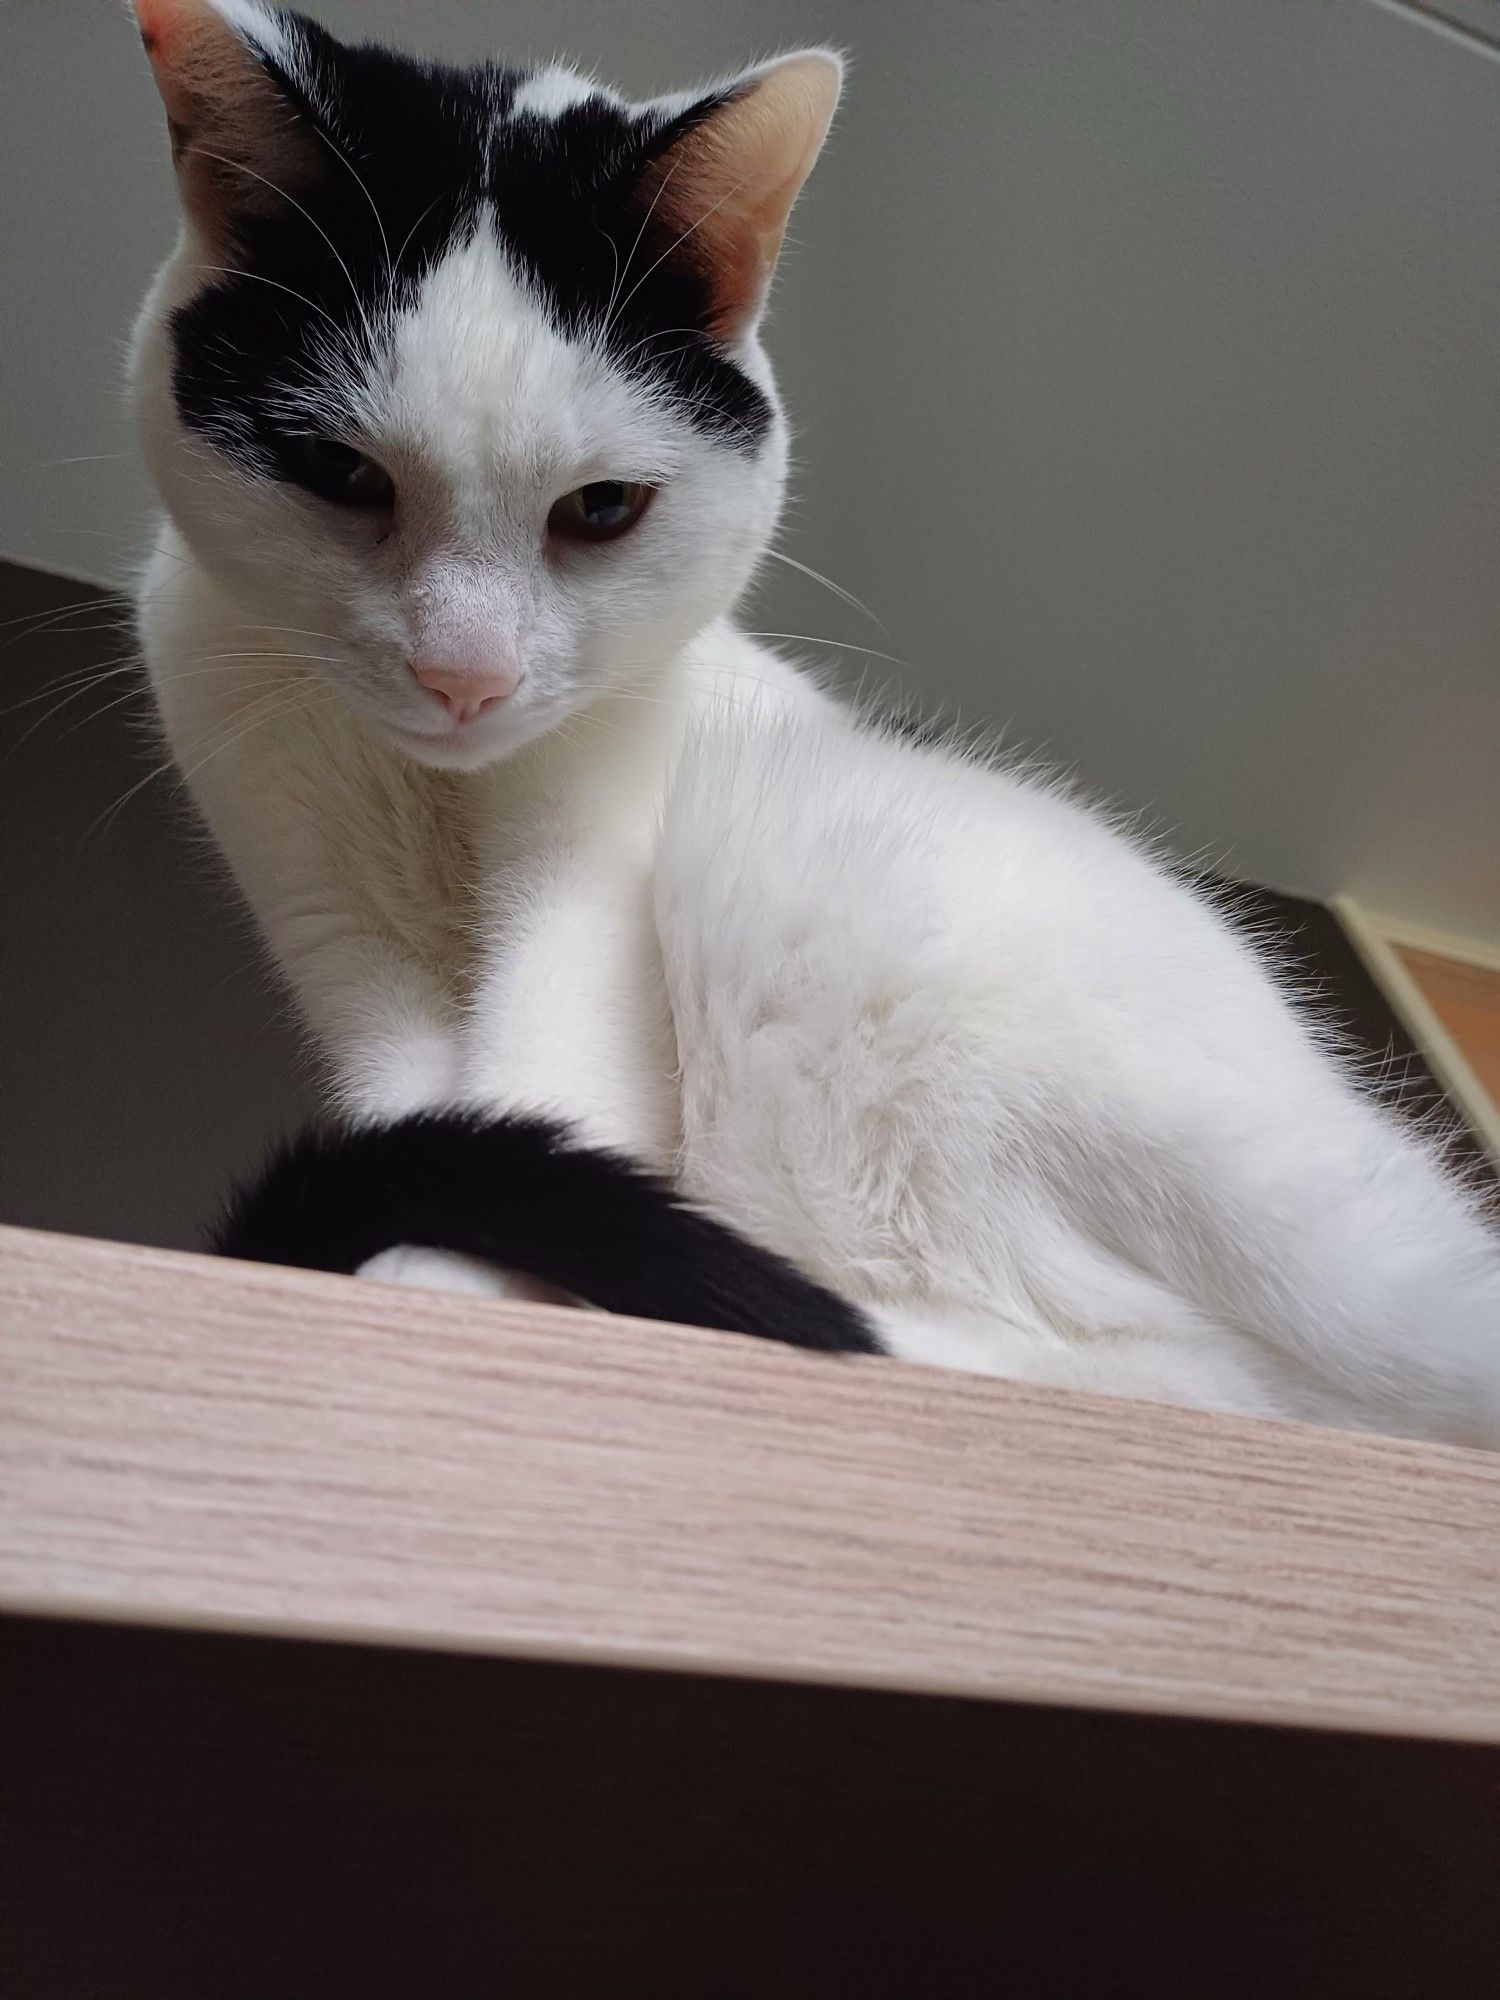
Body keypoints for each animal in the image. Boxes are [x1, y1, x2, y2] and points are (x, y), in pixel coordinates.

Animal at [132, 0, 1500, 1440]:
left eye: (601, 508)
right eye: (339, 472)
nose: (467, 676)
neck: (435, 790)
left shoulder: (589, 897)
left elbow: (538, 1069)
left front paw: (437, 1283)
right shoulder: (337, 932)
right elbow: (426, 1096)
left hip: (813, 865)